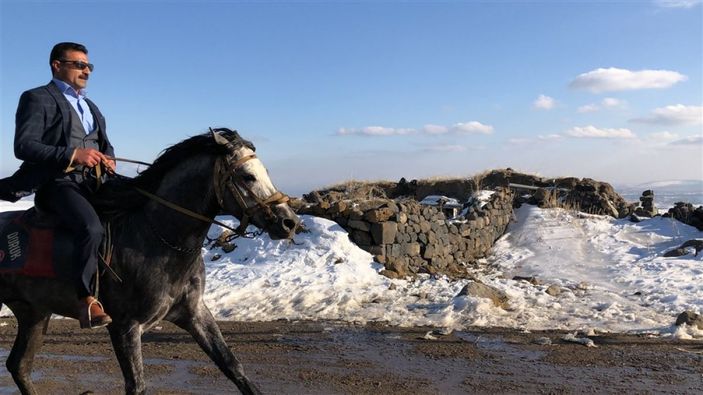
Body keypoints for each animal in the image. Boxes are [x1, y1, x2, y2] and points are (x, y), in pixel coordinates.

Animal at [0, 128, 300, 394]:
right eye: (248, 176)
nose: (289, 221)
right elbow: (137, 385)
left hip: (34, 314)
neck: (156, 238)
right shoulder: (125, 327)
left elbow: (233, 367)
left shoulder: (194, 313)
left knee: (19, 366)